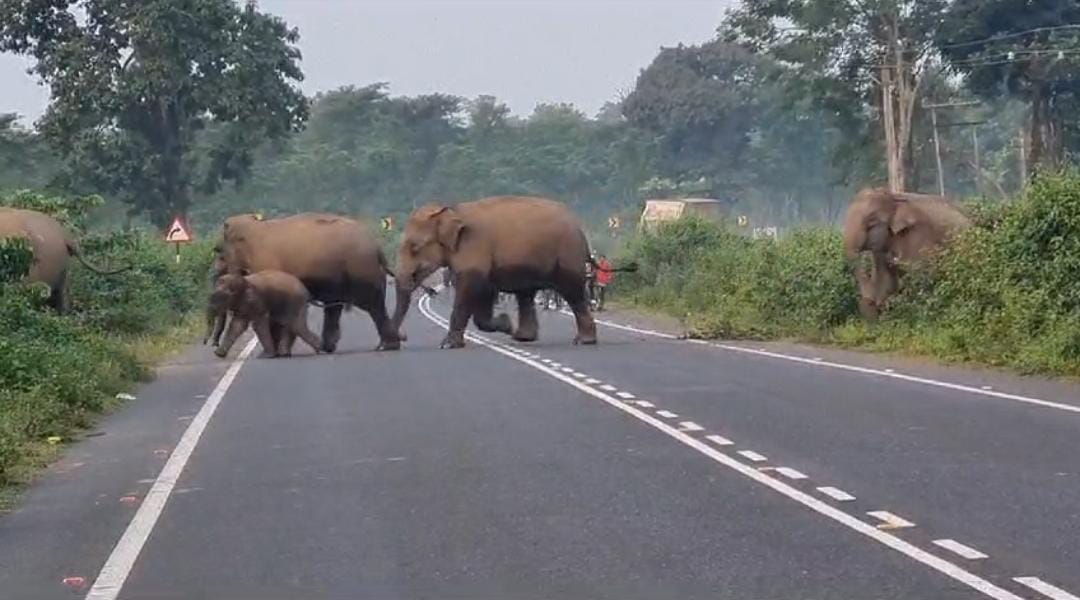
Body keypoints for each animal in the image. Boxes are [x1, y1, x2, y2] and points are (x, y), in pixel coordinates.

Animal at [217, 212, 403, 351]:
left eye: (220, 253)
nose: (214, 346)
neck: (254, 225)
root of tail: (376, 247)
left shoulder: (266, 264)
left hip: (361, 270)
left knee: (372, 305)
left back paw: (388, 346)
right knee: (337, 306)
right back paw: (330, 347)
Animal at [393, 194, 630, 349]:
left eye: (414, 247)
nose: (401, 338)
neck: (451, 210)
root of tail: (580, 229)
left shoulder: (475, 246)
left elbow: (470, 288)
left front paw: (447, 345)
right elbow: (483, 295)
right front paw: (507, 325)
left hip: (567, 256)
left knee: (573, 293)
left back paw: (583, 341)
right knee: (526, 295)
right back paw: (522, 337)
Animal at [838, 187, 976, 319]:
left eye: (871, 223)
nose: (869, 302)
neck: (893, 198)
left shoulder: (919, 236)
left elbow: (922, 275)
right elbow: (886, 280)